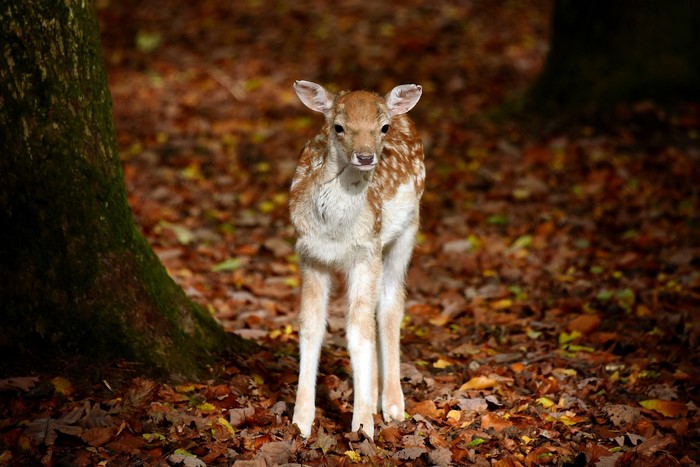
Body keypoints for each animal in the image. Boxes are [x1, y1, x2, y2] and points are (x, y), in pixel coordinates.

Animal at [289, 80, 424, 439]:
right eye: (338, 126)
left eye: (383, 127)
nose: (365, 156)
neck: (336, 232)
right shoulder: (309, 253)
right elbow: (311, 326)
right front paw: (301, 421)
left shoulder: (367, 250)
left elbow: (358, 330)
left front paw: (362, 425)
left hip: (407, 231)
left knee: (390, 304)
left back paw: (392, 406)